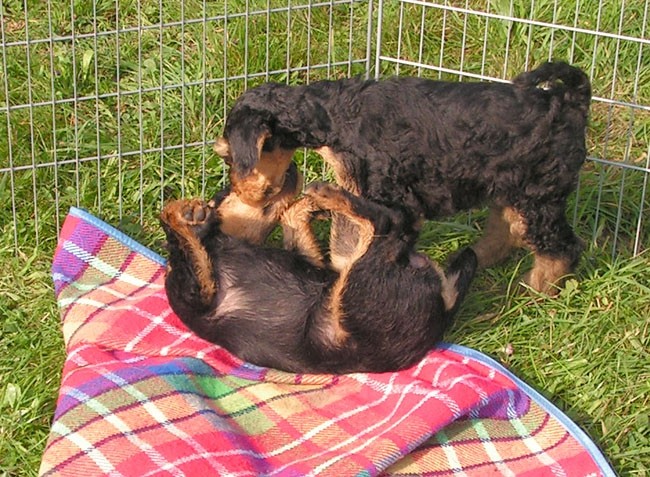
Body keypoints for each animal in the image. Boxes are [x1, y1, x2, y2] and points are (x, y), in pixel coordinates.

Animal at [161, 165, 476, 374]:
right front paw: (185, 215)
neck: (227, 240)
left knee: (391, 226)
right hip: (359, 285)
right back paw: (331, 194)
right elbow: (185, 241)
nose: (291, 166)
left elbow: (290, 215)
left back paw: (331, 195)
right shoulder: (196, 294)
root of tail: (445, 307)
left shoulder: (310, 261)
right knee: (390, 226)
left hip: (352, 276)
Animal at [215, 61, 588, 292]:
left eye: (229, 156)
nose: (239, 191)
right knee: (506, 230)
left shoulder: (399, 201)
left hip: (539, 193)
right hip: (509, 185)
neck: (333, 116)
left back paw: (538, 288)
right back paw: (473, 259)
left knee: (561, 247)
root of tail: (572, 101)